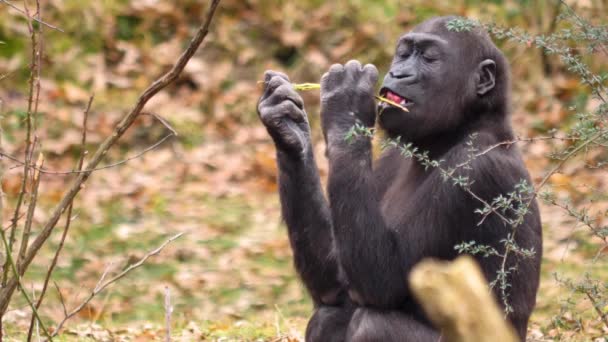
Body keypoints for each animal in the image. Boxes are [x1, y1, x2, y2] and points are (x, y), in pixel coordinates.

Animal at [256, 15, 540, 342]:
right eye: (403, 54)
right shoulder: (393, 156)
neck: (457, 131)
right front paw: (288, 126)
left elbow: (385, 282)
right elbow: (336, 285)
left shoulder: (478, 171)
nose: (398, 73)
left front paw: (346, 100)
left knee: (373, 323)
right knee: (330, 316)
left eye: (428, 57)